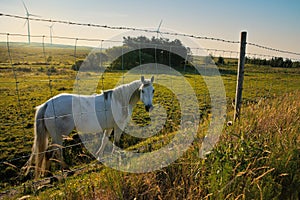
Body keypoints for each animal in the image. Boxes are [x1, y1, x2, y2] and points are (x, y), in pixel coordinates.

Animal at [23, 76, 155, 177]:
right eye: (142, 91)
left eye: (153, 90)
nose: (149, 107)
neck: (120, 101)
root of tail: (47, 104)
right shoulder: (118, 126)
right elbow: (116, 142)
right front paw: (117, 156)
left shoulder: (109, 127)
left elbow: (104, 140)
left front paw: (99, 156)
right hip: (59, 135)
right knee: (55, 151)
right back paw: (66, 169)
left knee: (48, 153)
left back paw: (48, 173)